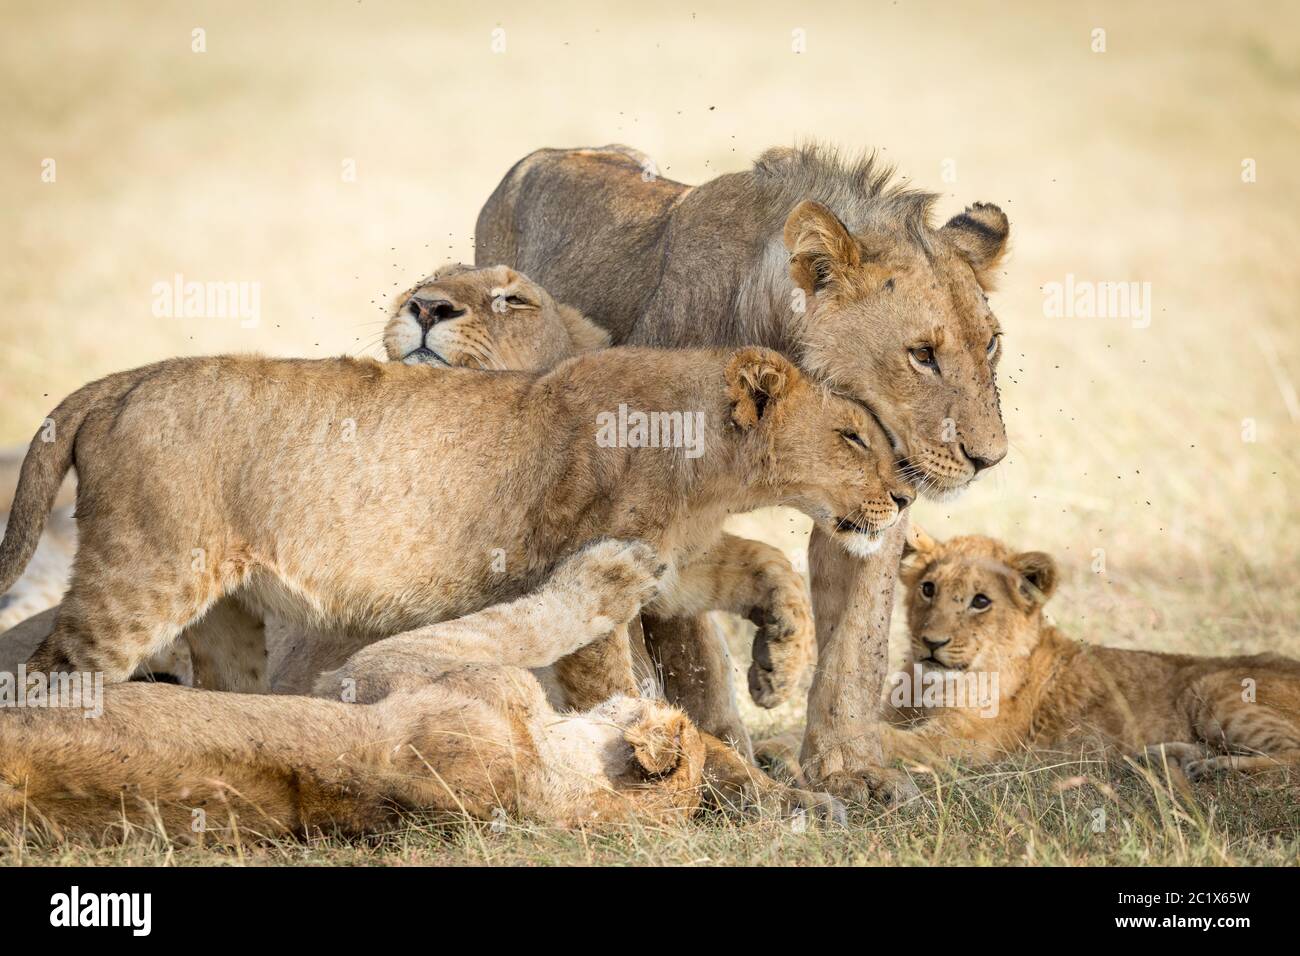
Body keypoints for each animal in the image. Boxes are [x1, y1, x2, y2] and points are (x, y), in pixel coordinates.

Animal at [478, 143, 1013, 801]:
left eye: (990, 345)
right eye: (922, 354)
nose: (990, 457)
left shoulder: (874, 505)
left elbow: (856, 646)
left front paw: (851, 769)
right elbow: (685, 648)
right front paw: (721, 768)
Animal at [878, 528, 1300, 780]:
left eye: (980, 602)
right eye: (928, 589)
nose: (932, 642)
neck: (926, 687)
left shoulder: (965, 741)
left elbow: (894, 740)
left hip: (1213, 689)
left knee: (1293, 754)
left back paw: (1216, 768)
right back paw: (1167, 757)